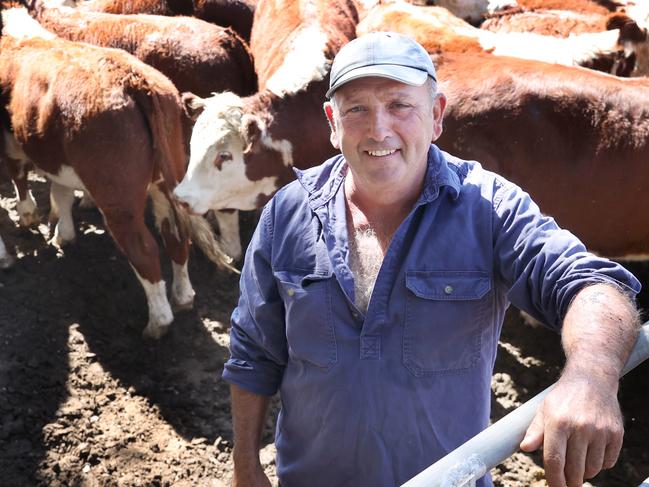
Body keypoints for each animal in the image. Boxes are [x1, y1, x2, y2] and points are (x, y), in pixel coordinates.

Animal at [0, 9, 233, 342]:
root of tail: (134, 80)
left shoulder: (11, 148)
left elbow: (21, 180)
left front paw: (29, 219)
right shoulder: (55, 156)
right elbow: (61, 192)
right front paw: (62, 233)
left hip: (118, 201)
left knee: (144, 250)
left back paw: (157, 323)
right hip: (167, 179)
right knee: (176, 235)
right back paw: (183, 296)